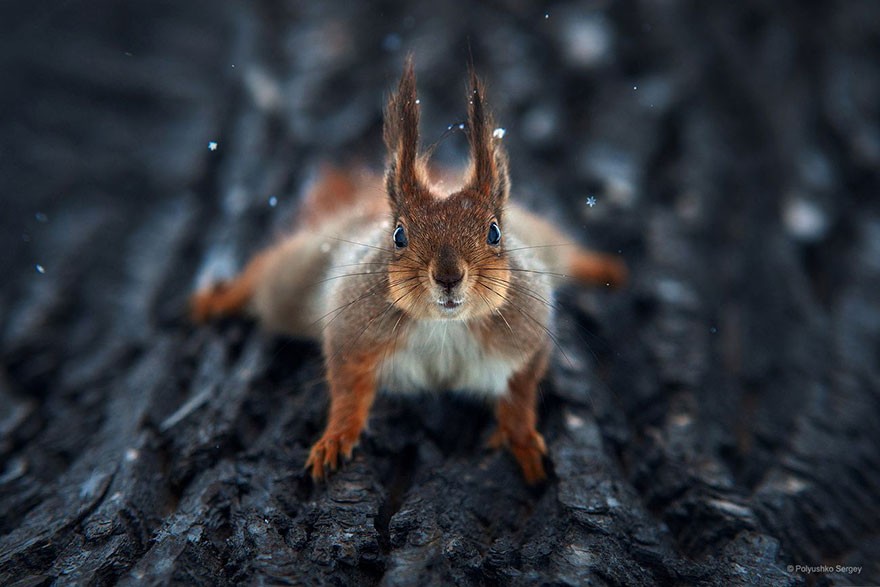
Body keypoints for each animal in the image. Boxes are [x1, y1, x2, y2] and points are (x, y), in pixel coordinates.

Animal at [192, 58, 624, 482]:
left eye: (494, 232)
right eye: (399, 235)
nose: (448, 277)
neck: (446, 326)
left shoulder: (527, 336)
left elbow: (520, 394)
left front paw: (522, 441)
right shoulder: (352, 329)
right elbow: (347, 389)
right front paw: (336, 437)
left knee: (568, 253)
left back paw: (604, 267)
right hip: (296, 281)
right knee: (266, 270)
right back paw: (219, 298)